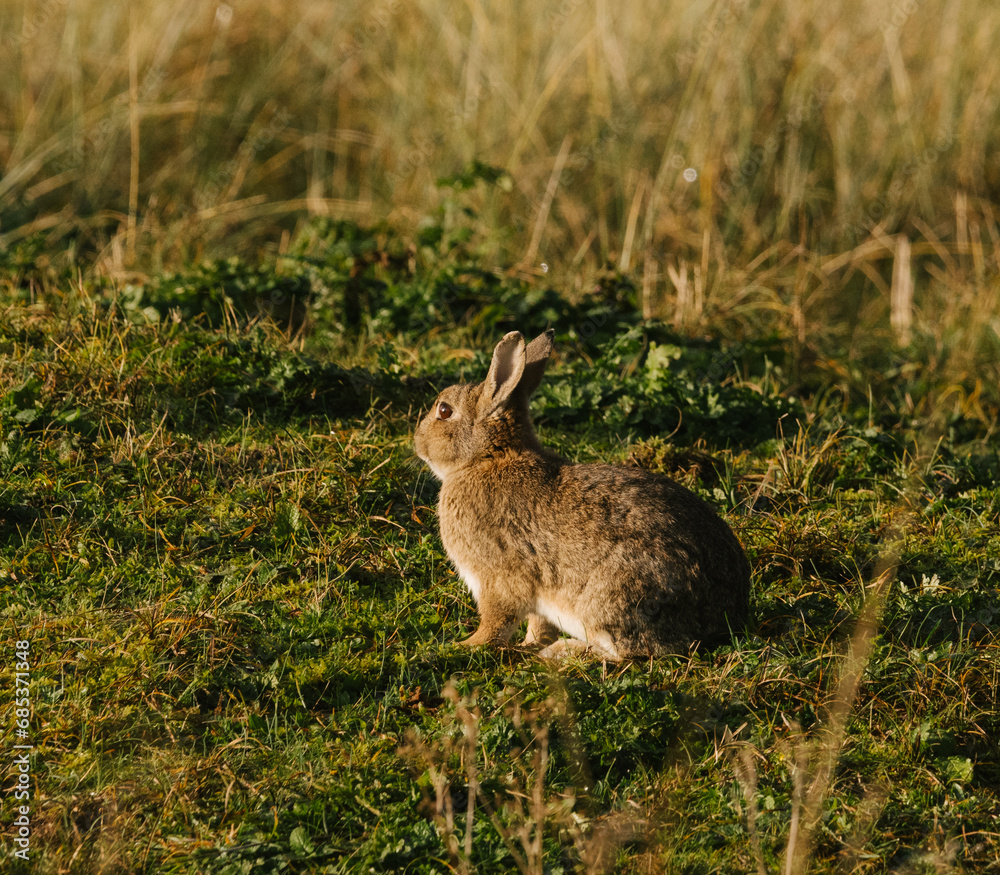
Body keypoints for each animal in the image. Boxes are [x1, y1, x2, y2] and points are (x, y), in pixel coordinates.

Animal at [413, 328, 751, 660]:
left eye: (444, 410)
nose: (417, 441)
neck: (487, 458)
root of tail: (722, 619)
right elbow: (537, 623)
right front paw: (526, 644)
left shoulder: (496, 577)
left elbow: (496, 622)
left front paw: (464, 645)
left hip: (614, 599)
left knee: (624, 651)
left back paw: (561, 651)